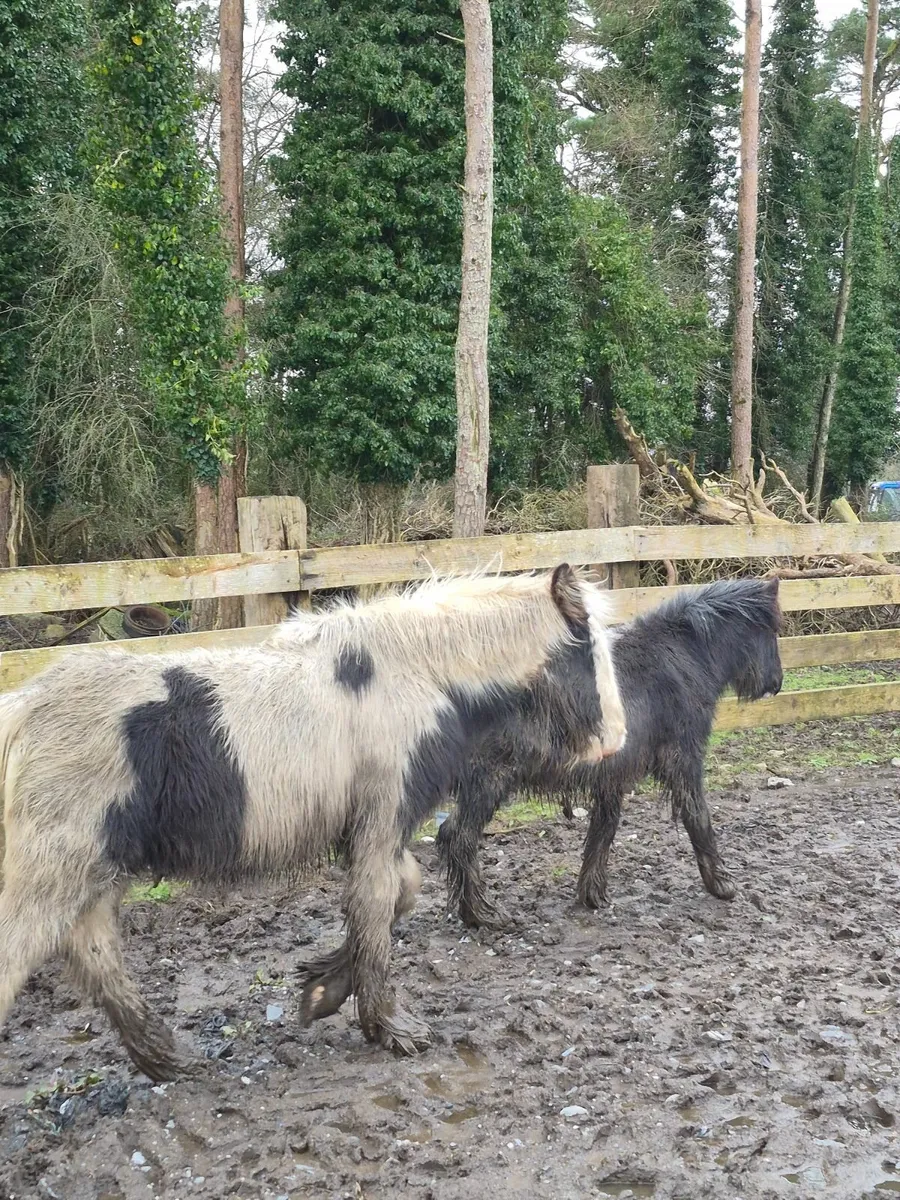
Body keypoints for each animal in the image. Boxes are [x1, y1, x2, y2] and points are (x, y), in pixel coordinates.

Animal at [0, 564, 626, 1080]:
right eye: (587, 647)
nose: (617, 740)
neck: (418, 673)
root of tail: (21, 711)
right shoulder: (382, 818)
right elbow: (376, 906)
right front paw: (390, 1029)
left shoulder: (376, 827)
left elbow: (401, 893)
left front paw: (320, 990)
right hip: (53, 873)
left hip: (95, 875)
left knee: (94, 955)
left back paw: (171, 1061)